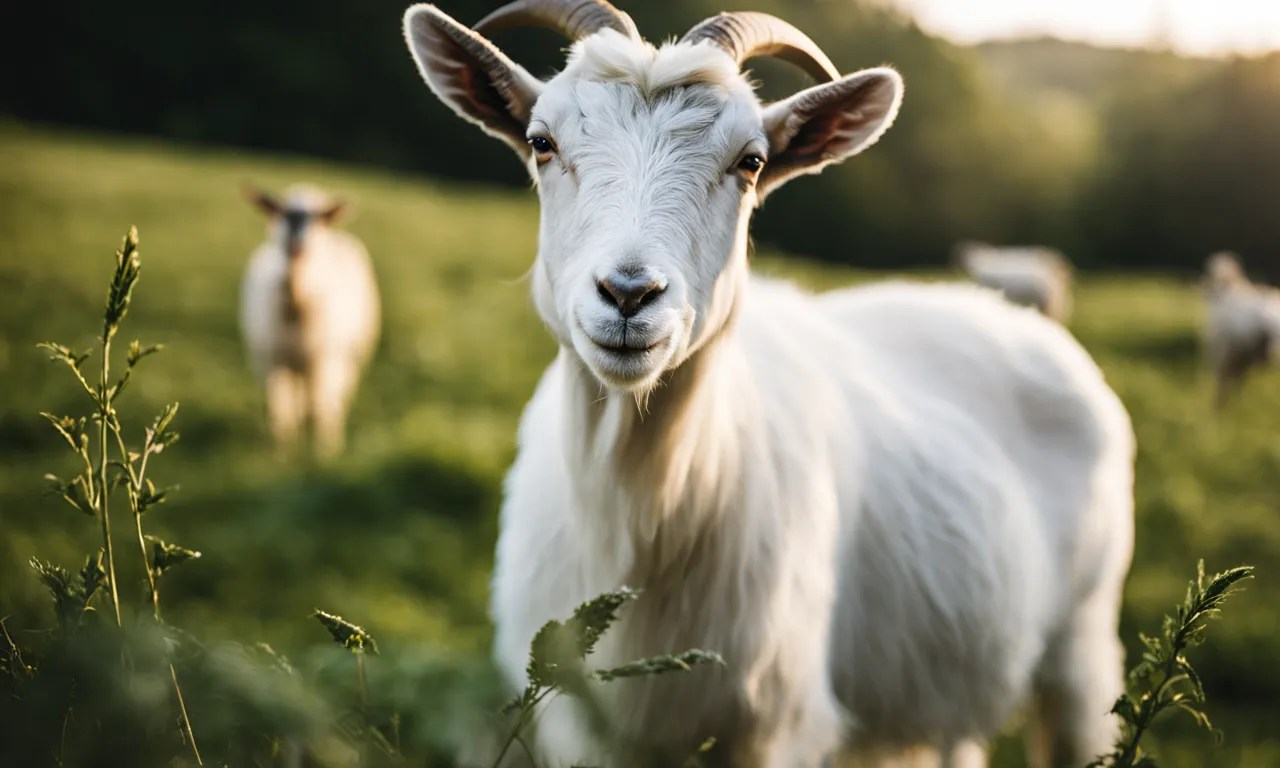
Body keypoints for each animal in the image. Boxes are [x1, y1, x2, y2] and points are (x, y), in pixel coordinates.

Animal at [240, 184, 380, 458]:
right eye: (281, 212)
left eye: (319, 218)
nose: (296, 240)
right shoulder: (276, 359)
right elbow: (279, 410)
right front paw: (283, 453)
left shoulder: (323, 360)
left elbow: (319, 408)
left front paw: (324, 452)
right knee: (297, 401)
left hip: (347, 357)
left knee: (332, 397)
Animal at [403, 3, 1134, 766]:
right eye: (541, 143)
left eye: (750, 162)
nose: (630, 294)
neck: (641, 517)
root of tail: (1009, 314)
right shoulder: (583, 728)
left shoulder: (779, 724)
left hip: (1083, 643)